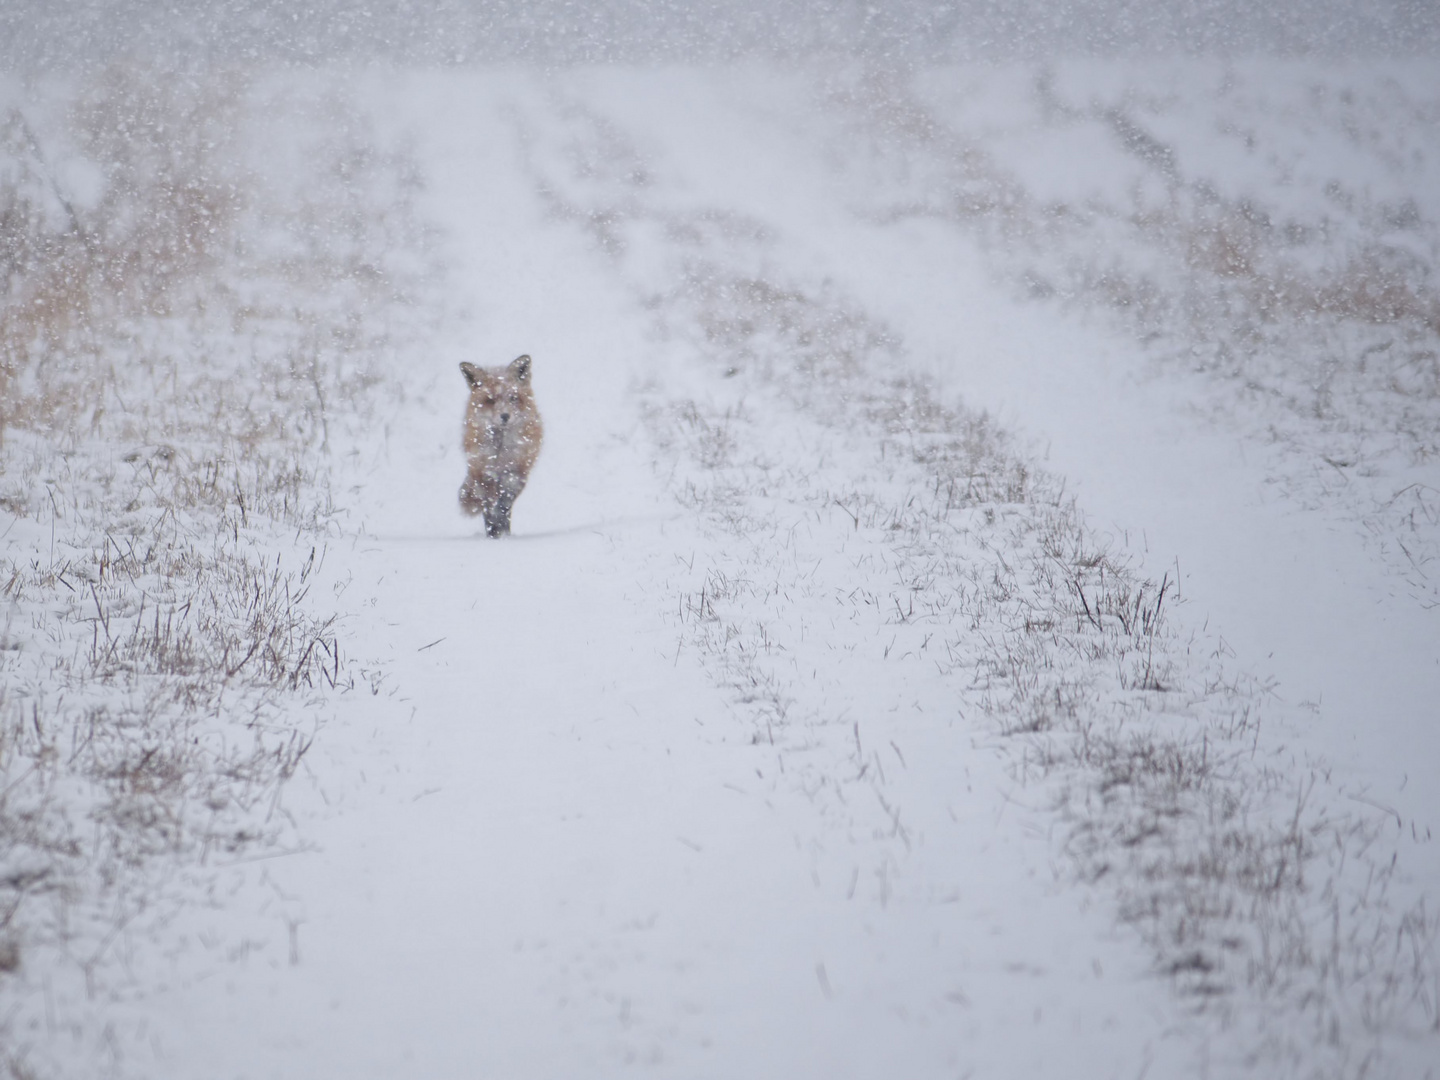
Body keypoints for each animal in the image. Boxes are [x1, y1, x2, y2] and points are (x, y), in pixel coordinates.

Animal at [457, 357, 541, 538]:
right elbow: (490, 510)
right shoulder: (484, 475)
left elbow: (503, 509)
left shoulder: (513, 476)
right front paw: (493, 535)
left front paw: (504, 535)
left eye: (513, 398)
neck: (500, 453)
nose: (505, 416)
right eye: (490, 400)